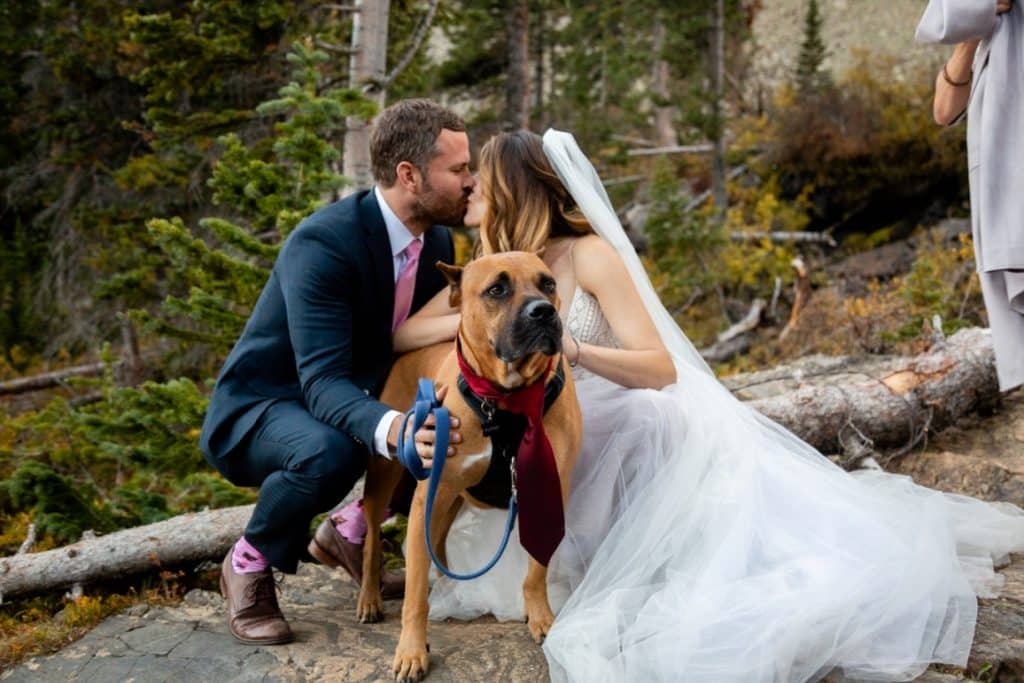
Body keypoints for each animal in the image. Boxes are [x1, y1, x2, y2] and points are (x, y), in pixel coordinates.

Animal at [364, 252, 581, 683]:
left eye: (548, 283)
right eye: (496, 289)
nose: (544, 311)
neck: (507, 399)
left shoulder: (550, 488)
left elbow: (536, 568)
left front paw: (540, 617)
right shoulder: (425, 501)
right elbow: (414, 595)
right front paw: (411, 651)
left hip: (450, 500)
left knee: (438, 543)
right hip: (388, 475)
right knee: (370, 537)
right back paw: (369, 599)